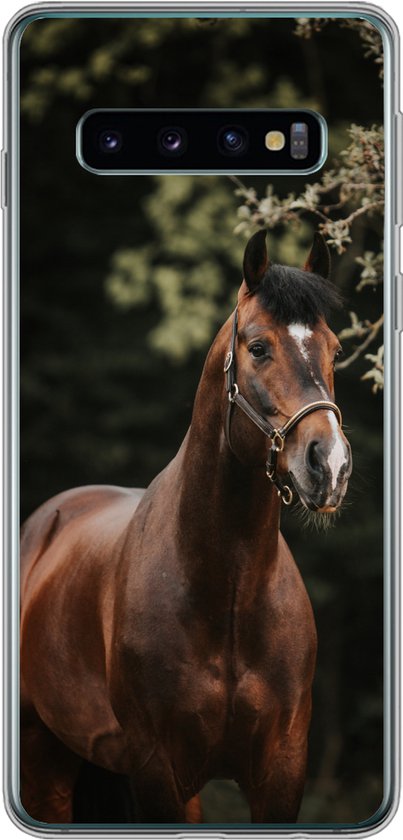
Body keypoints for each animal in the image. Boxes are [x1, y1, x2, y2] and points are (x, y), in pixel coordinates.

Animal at [20, 230, 352, 825]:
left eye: (335, 349)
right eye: (258, 347)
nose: (330, 465)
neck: (228, 594)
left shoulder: (281, 772)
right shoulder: (158, 770)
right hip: (44, 762)